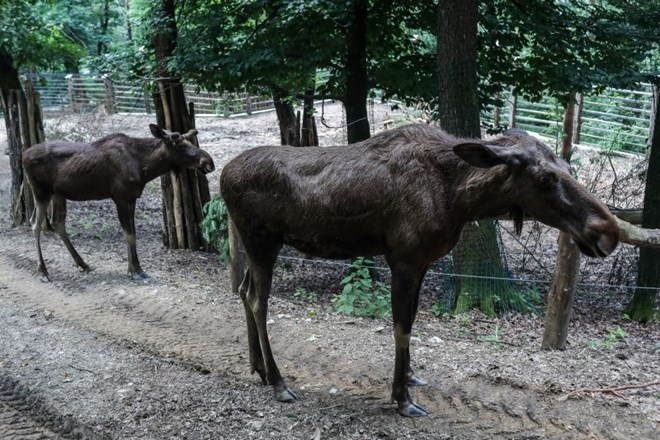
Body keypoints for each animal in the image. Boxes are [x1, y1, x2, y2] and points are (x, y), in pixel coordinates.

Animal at [21, 124, 214, 282]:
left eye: (189, 141)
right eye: (181, 145)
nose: (209, 162)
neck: (145, 167)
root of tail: (23, 155)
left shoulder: (132, 197)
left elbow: (133, 232)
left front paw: (138, 269)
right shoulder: (119, 197)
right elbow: (128, 233)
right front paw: (133, 271)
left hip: (59, 194)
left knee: (57, 222)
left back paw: (82, 263)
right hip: (41, 191)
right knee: (35, 223)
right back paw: (43, 271)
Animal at [220, 123, 620, 416]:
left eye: (567, 168)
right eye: (545, 178)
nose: (607, 232)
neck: (461, 200)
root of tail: (222, 176)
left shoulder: (424, 261)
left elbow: (412, 321)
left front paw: (411, 378)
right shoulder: (404, 258)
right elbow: (401, 327)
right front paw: (401, 398)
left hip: (253, 245)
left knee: (242, 290)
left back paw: (257, 367)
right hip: (262, 241)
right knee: (258, 301)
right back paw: (278, 382)